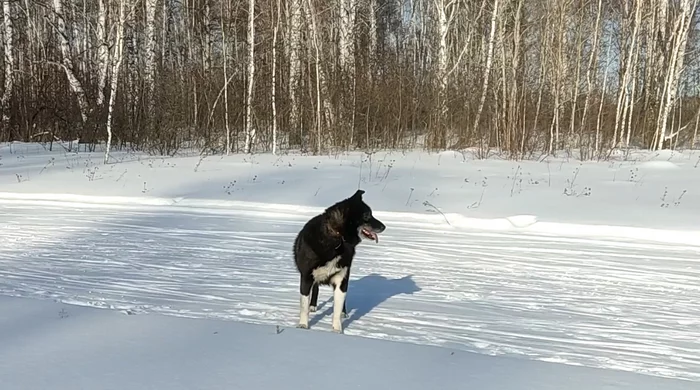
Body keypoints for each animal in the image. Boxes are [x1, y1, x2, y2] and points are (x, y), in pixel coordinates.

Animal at [292, 189, 386, 332]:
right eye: (367, 215)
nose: (384, 227)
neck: (337, 239)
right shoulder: (306, 276)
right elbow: (304, 305)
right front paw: (303, 325)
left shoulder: (341, 278)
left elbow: (337, 307)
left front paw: (337, 330)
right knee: (315, 289)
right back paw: (313, 306)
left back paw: (343, 313)